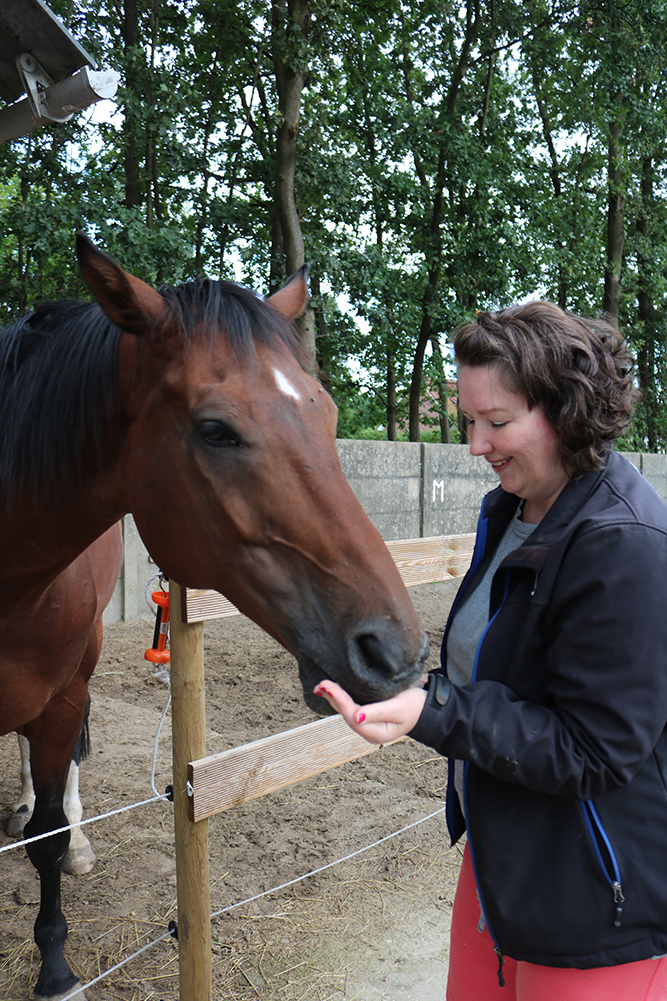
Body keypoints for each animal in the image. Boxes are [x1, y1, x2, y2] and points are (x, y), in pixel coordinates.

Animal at [0, 236, 422, 1001]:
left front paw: (55, 966)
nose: (394, 652)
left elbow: (46, 837)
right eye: (215, 430)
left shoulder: (63, 698)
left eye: (328, 415)